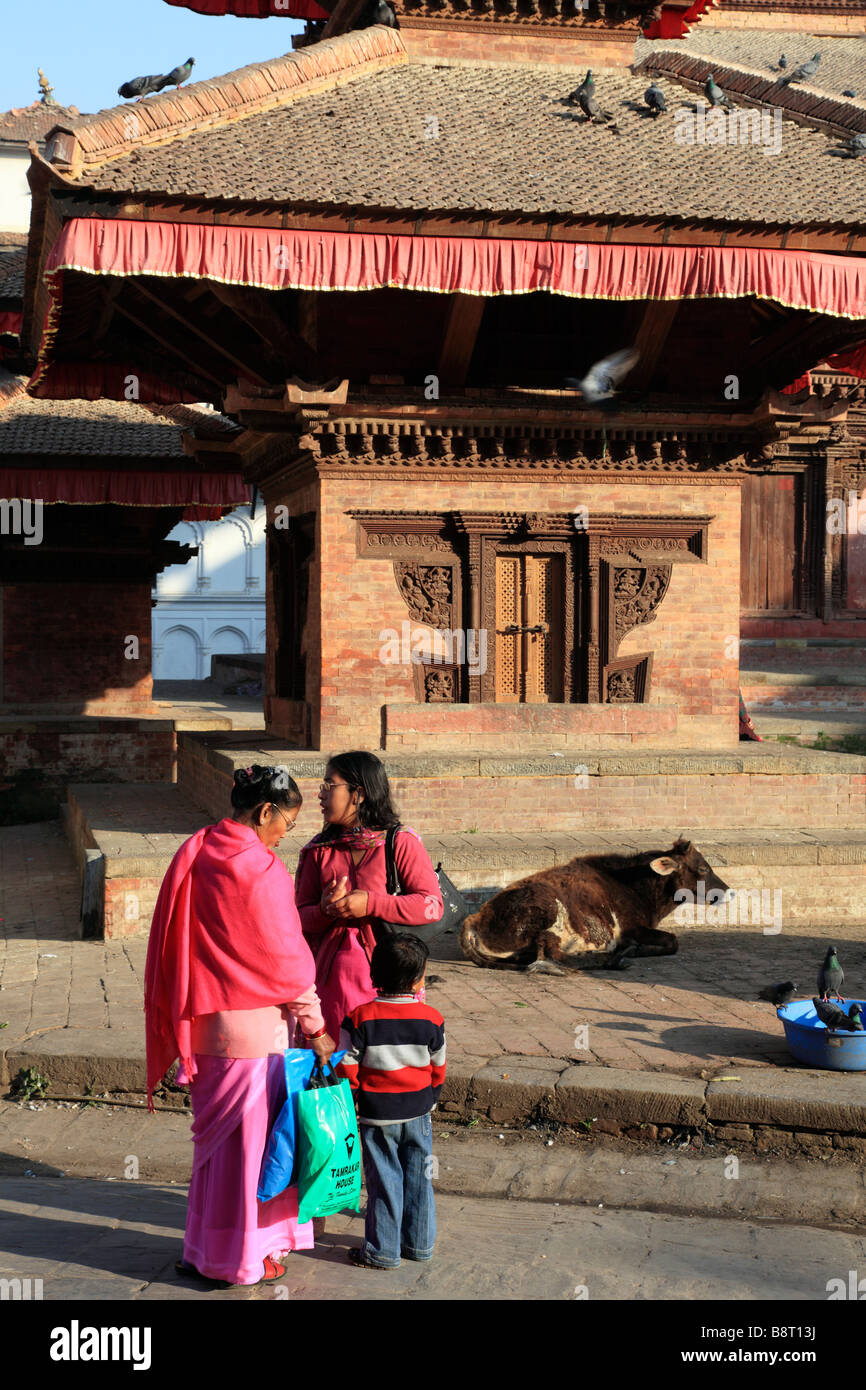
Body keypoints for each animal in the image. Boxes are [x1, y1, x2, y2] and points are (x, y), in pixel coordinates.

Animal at [458, 834, 733, 978]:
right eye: (702, 868)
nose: (729, 891)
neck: (633, 885)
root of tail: (474, 919)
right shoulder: (633, 928)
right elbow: (672, 941)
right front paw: (634, 949)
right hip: (549, 913)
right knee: (549, 955)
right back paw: (611, 959)